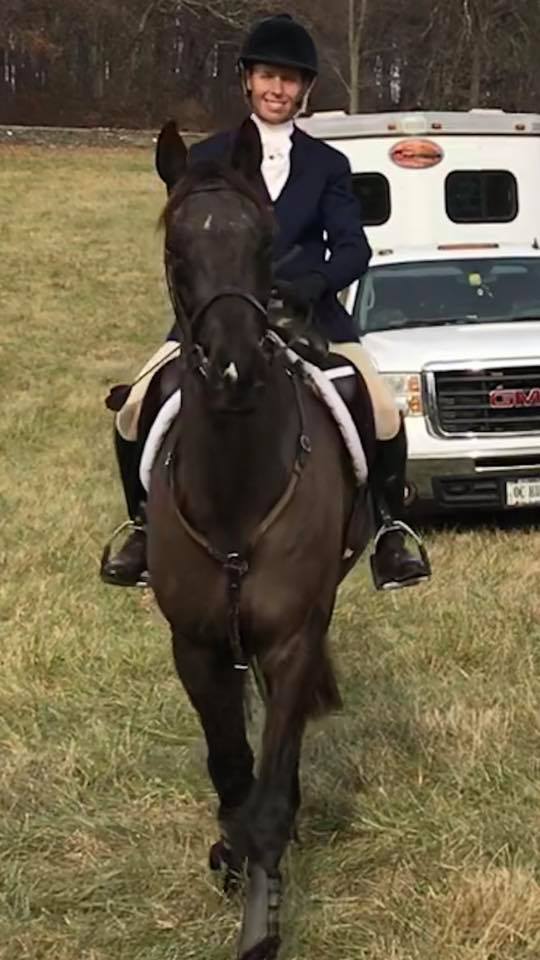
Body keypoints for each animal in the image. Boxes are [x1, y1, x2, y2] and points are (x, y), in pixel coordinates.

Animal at [145, 117, 375, 960]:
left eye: (264, 241)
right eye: (176, 246)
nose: (235, 369)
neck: (236, 488)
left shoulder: (293, 634)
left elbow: (269, 787)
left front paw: (260, 920)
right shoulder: (197, 644)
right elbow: (231, 767)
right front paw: (229, 856)